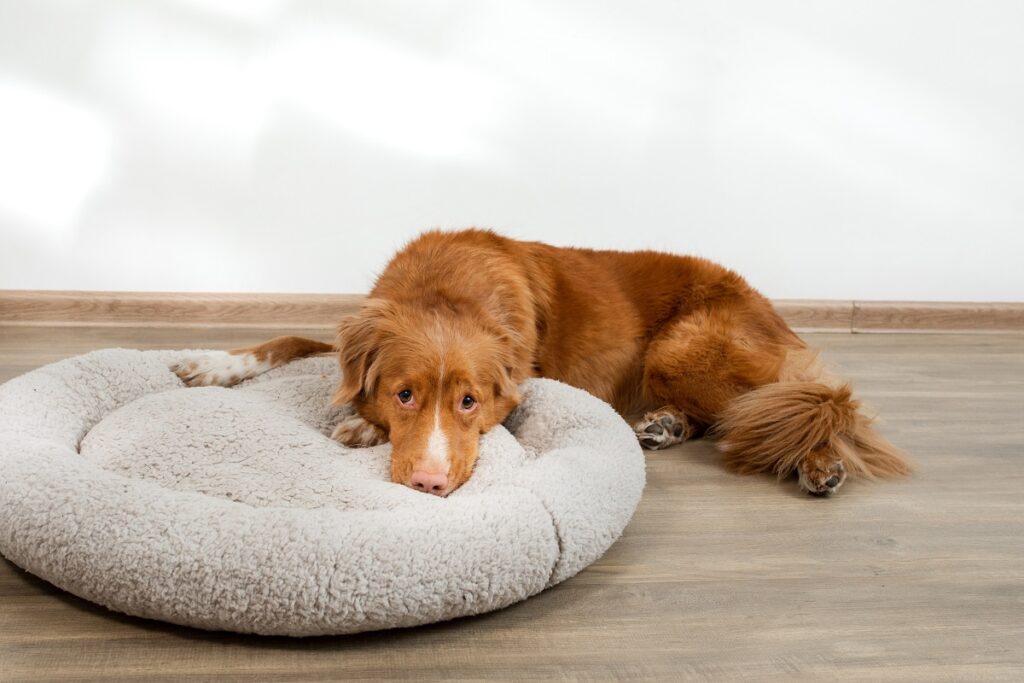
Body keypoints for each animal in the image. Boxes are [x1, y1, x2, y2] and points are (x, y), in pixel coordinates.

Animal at [174, 229, 913, 497]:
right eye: (404, 393)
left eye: (470, 401)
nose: (431, 482)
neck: (446, 284)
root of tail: (775, 314)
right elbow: (290, 340)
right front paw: (213, 364)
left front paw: (358, 425)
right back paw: (666, 425)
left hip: (682, 348)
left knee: (813, 407)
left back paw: (819, 463)